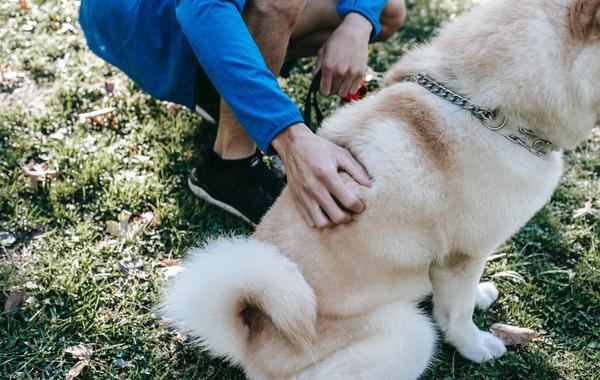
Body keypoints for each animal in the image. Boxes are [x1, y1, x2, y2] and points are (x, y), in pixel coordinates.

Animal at [159, 1, 600, 378]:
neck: (488, 111)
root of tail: (252, 336)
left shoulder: (463, 262)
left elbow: (464, 295)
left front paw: (480, 296)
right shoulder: (461, 256)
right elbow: (456, 316)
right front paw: (477, 347)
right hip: (411, 335)